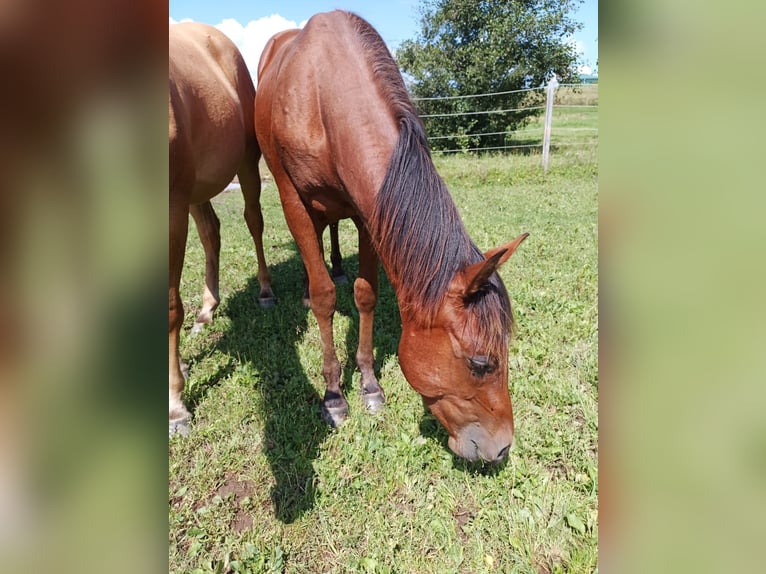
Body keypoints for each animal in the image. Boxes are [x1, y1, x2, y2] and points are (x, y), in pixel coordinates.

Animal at [169, 23, 276, 436]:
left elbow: (170, 305)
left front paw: (175, 405)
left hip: (244, 164)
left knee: (253, 221)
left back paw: (264, 291)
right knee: (211, 232)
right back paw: (206, 311)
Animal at [256, 11, 528, 466]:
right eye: (479, 362)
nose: (502, 448)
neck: (324, 90)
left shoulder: (372, 213)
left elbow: (366, 294)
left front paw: (369, 384)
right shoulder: (293, 200)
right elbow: (326, 297)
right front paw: (334, 395)